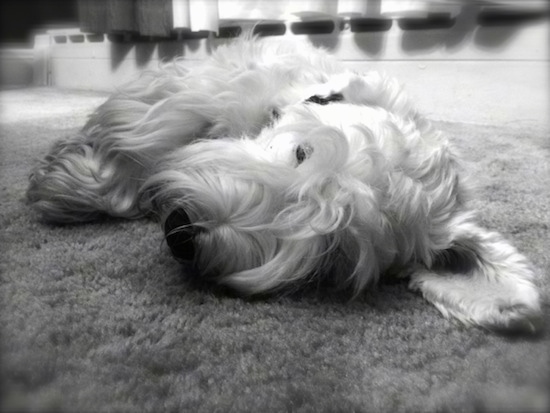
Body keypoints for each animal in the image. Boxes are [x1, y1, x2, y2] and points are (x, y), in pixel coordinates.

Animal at [28, 34, 544, 332]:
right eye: (301, 153)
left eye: (335, 252)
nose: (182, 232)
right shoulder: (199, 92)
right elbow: (144, 134)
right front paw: (69, 186)